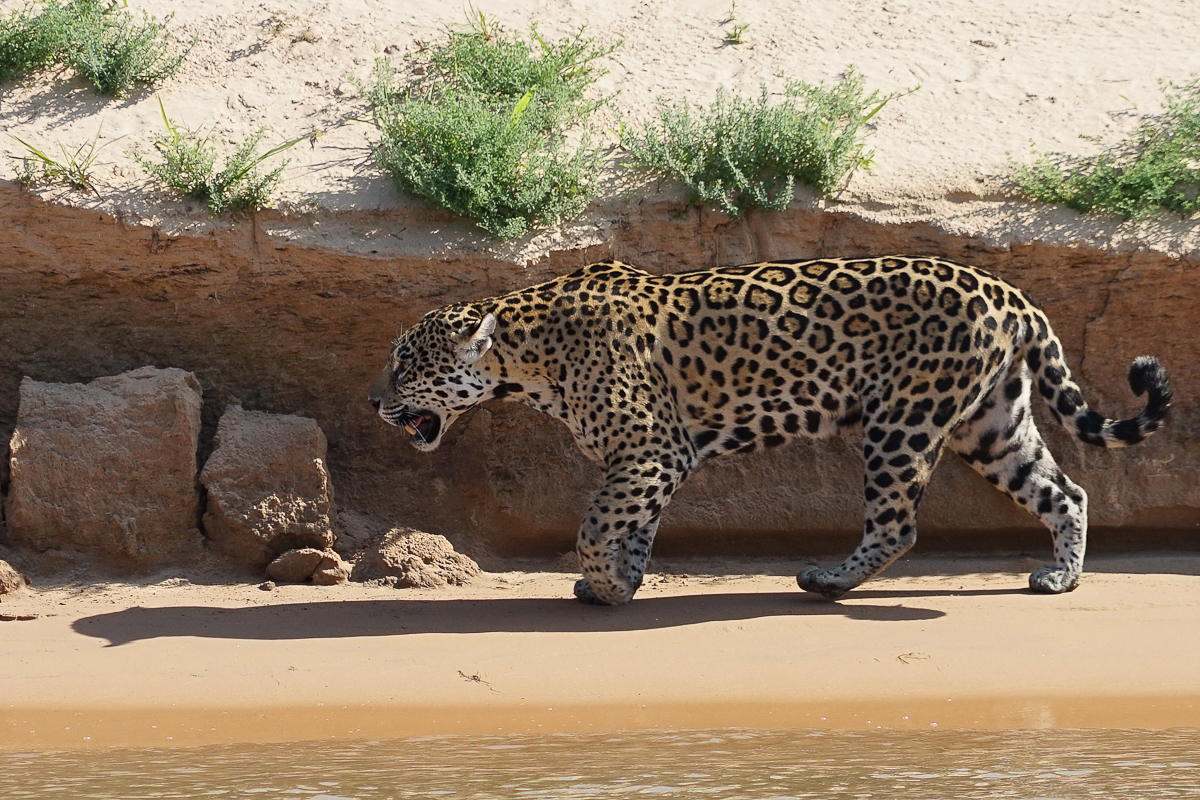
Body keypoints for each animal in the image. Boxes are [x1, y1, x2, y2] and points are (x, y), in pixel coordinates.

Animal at [369, 255, 1171, 606]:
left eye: (405, 366)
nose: (373, 401)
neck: (525, 354)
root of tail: (1011, 293)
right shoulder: (646, 459)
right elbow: (632, 524)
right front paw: (622, 582)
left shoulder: (653, 449)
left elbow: (595, 526)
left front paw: (607, 583)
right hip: (992, 423)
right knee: (1066, 492)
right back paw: (1062, 577)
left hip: (903, 421)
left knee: (898, 524)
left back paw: (828, 581)